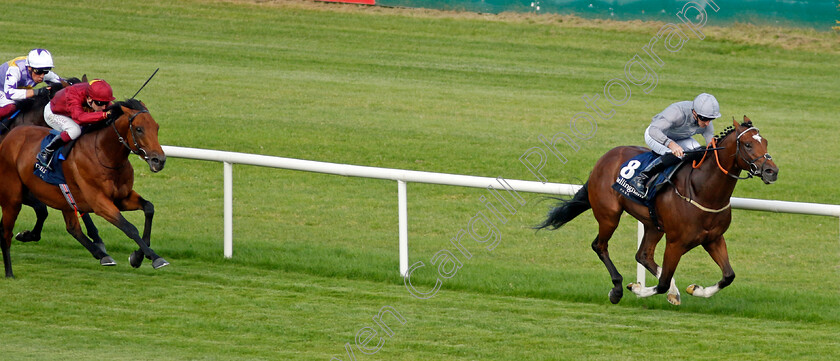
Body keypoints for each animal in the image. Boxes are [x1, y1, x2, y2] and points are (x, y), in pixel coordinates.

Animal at [0, 97, 169, 278]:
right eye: (139, 129)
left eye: (156, 127)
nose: (159, 160)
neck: (105, 154)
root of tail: (11, 135)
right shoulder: (99, 203)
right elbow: (129, 227)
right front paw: (155, 258)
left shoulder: (121, 198)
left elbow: (149, 208)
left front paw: (138, 256)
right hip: (13, 198)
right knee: (7, 233)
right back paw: (9, 272)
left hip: (58, 196)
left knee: (71, 227)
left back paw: (102, 254)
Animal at [540, 117, 780, 304]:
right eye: (747, 144)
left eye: (766, 142)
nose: (771, 171)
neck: (702, 191)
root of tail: (606, 157)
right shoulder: (676, 243)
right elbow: (663, 282)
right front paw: (637, 288)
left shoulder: (713, 239)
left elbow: (728, 275)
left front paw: (696, 289)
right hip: (609, 215)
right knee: (600, 245)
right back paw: (617, 289)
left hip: (652, 223)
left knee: (643, 255)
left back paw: (672, 291)